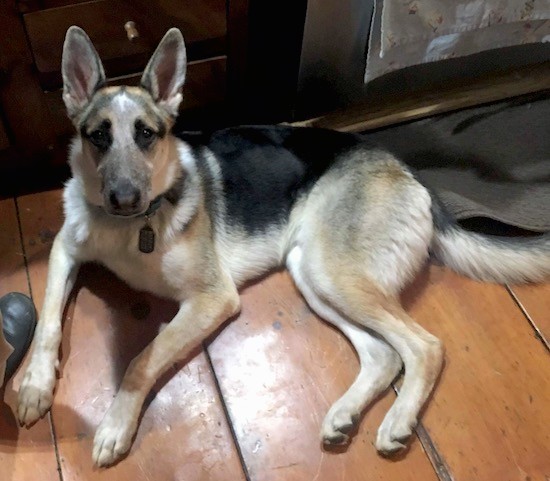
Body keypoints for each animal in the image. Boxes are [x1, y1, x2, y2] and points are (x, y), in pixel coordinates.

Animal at [16, 25, 548, 464]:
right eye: (98, 137)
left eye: (146, 135)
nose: (124, 199)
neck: (129, 229)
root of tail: (409, 172)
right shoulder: (64, 250)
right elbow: (47, 321)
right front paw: (35, 385)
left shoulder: (212, 300)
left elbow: (141, 359)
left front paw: (114, 424)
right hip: (312, 275)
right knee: (384, 355)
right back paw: (345, 415)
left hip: (333, 273)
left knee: (425, 346)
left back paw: (398, 421)